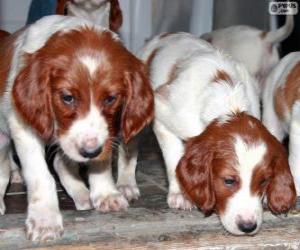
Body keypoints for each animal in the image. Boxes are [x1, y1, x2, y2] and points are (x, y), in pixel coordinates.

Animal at [0, 15, 154, 240]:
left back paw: (81, 194)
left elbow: (100, 162)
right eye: (67, 97)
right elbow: (40, 174)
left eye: (110, 98)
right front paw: (44, 219)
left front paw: (106, 194)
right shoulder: (23, 127)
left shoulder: (106, 133)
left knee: (60, 163)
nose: (89, 152)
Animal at [117, 32, 296, 234]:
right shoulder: (163, 114)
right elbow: (173, 157)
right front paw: (180, 194)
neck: (229, 105)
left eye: (264, 181)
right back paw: (125, 184)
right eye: (228, 181)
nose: (248, 227)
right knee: (128, 145)